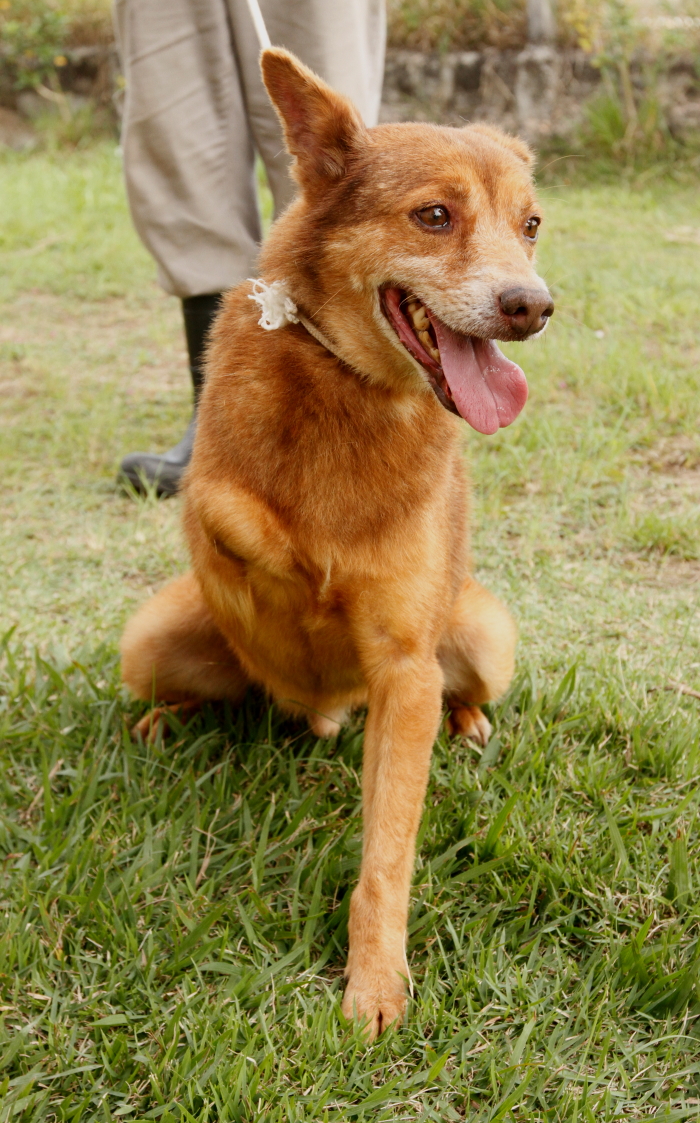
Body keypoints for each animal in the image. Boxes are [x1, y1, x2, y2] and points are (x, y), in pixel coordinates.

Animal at [121, 48, 559, 1037]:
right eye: (434, 215)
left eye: (530, 225)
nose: (533, 306)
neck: (352, 389)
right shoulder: (213, 509)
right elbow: (226, 511)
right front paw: (291, 557)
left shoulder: (403, 669)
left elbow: (387, 855)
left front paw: (375, 982)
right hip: (151, 635)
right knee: (191, 684)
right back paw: (163, 721)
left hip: (482, 630)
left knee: (465, 690)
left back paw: (471, 724)